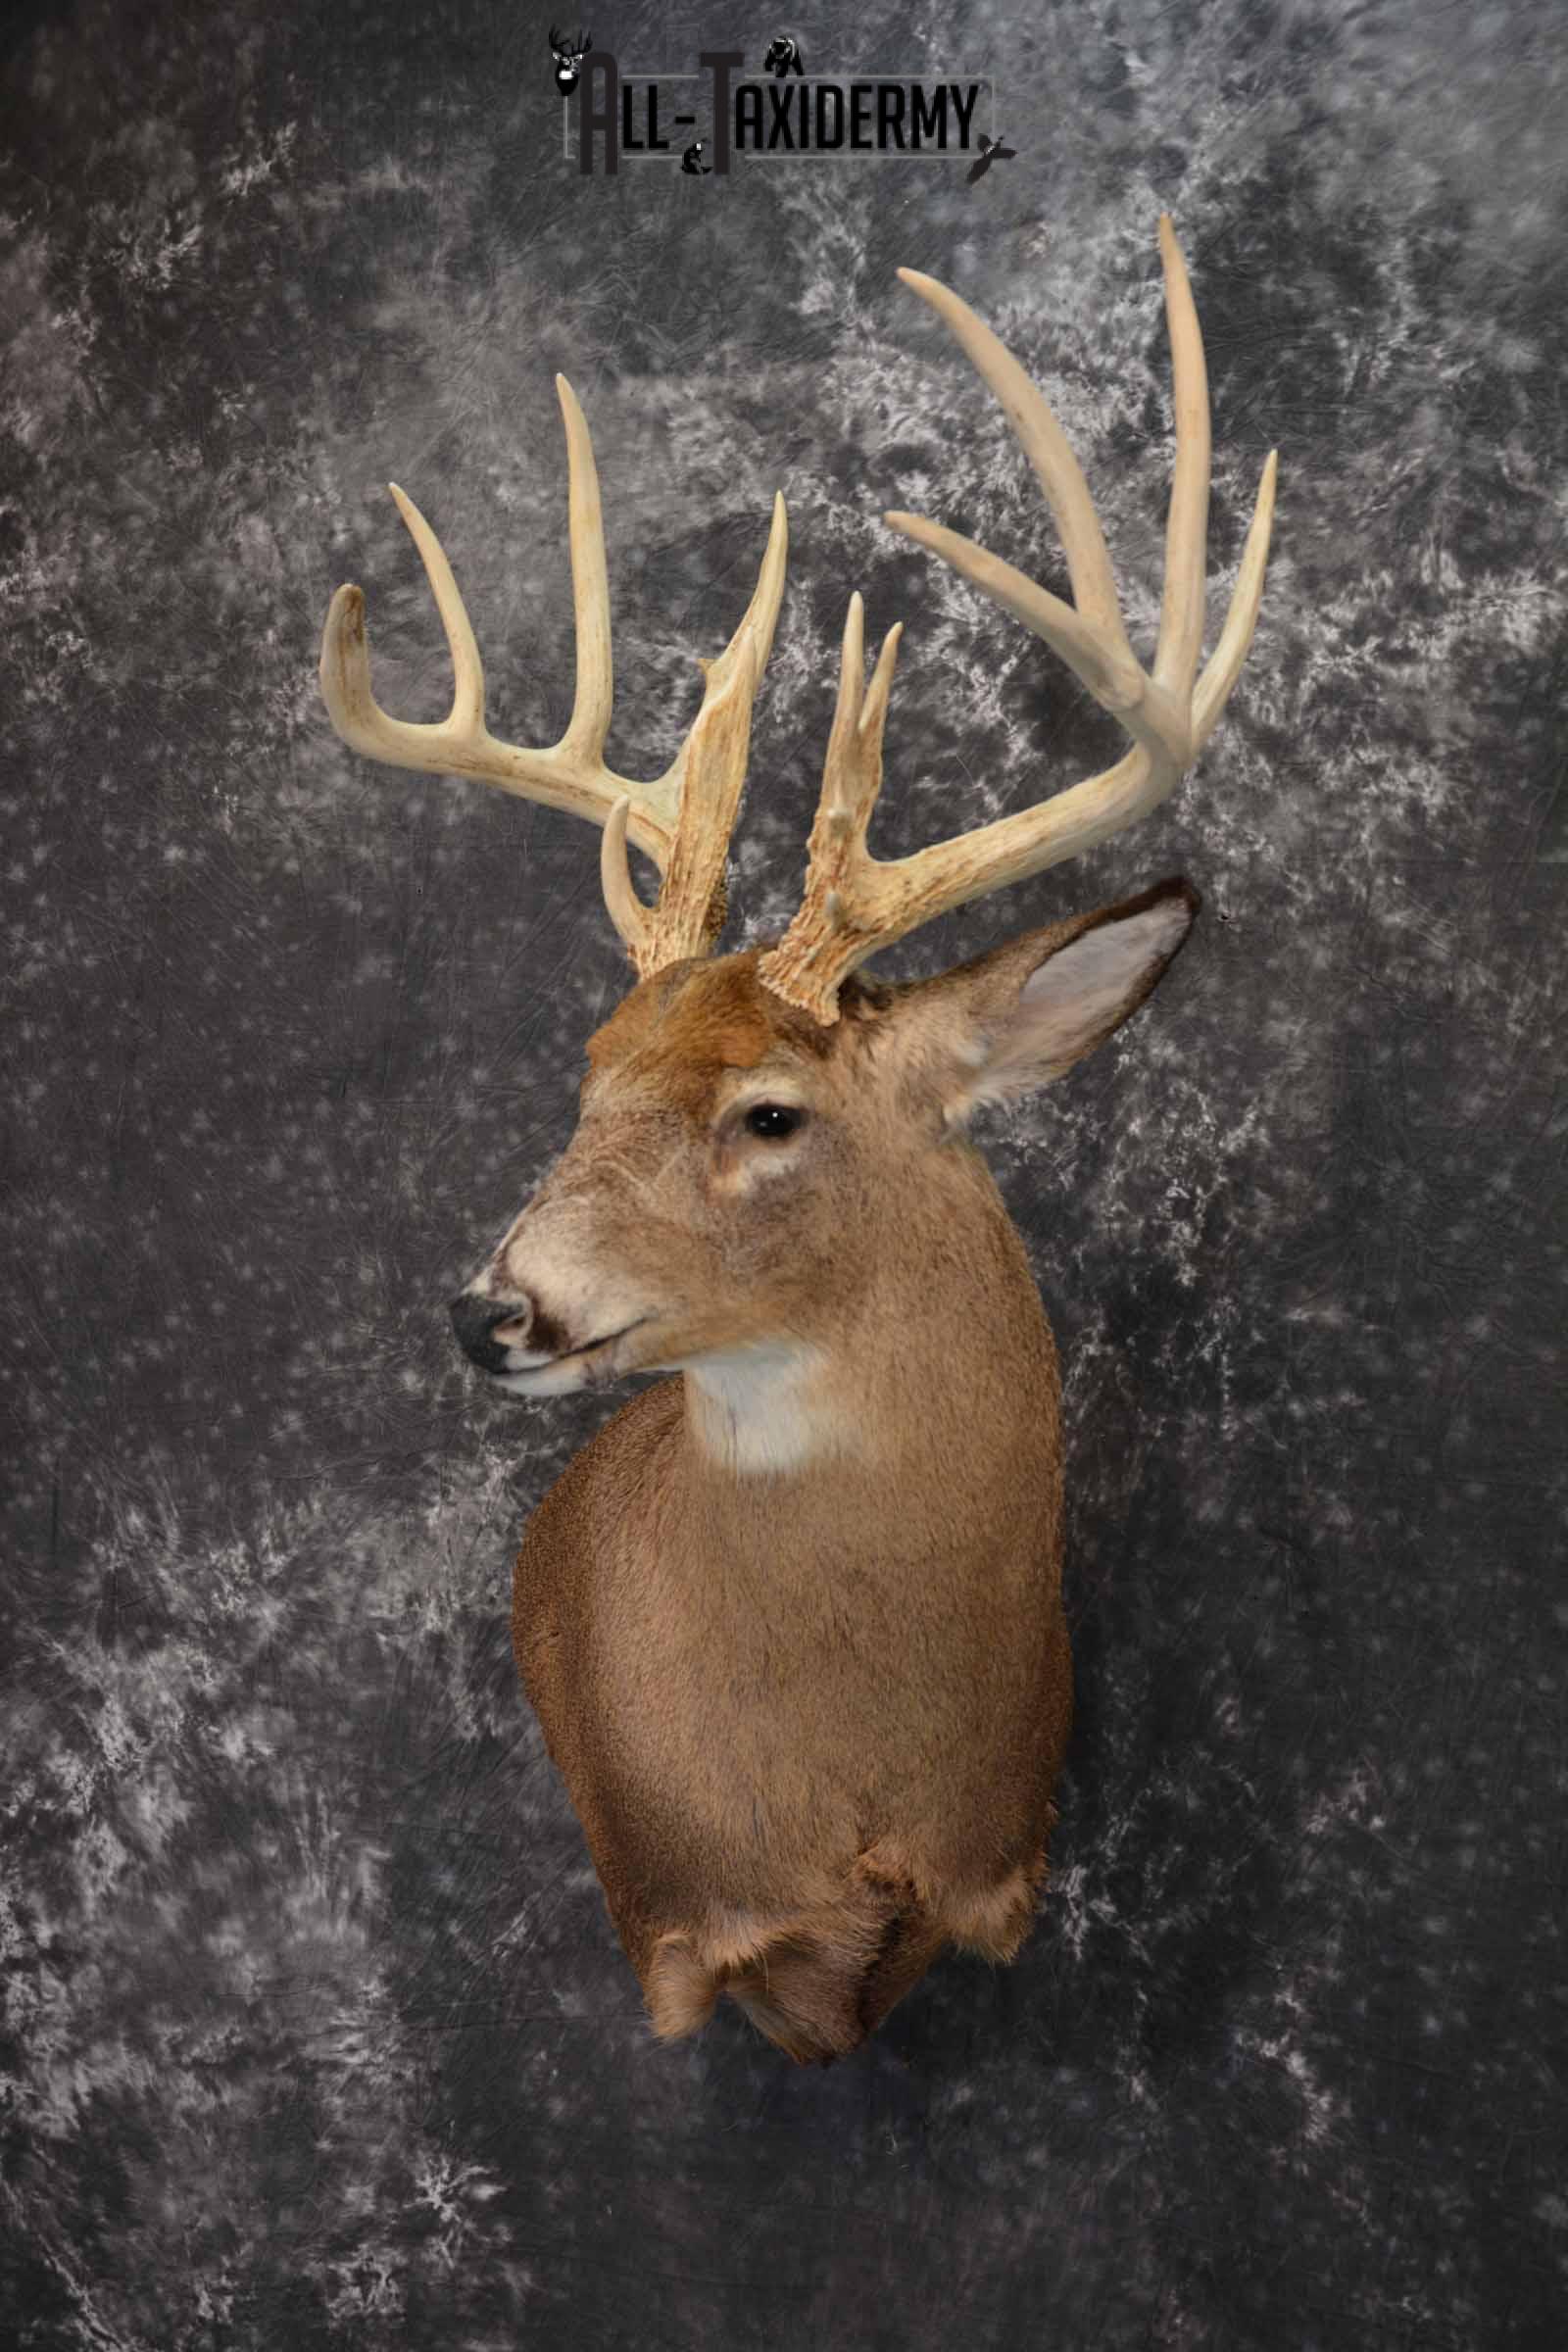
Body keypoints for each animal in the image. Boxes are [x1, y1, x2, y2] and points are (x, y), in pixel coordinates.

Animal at [318, 217, 1276, 2065]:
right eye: (588, 1070)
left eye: (769, 1111)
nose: (494, 1309)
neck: (848, 1794)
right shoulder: (679, 1925)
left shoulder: (1002, 1862)